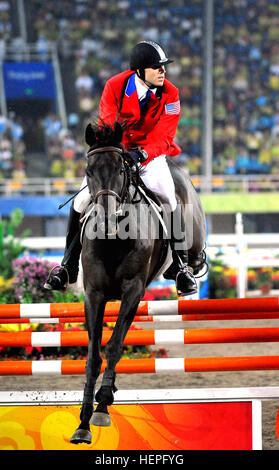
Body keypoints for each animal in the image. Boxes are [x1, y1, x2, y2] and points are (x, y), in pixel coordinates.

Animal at [70, 122, 206, 444]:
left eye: (121, 168)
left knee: (195, 257)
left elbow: (114, 346)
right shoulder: (94, 294)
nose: (106, 219)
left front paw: (103, 405)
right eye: (88, 170)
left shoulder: (133, 291)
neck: (114, 239)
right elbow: (93, 356)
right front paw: (83, 423)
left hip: (192, 235)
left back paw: (185, 273)